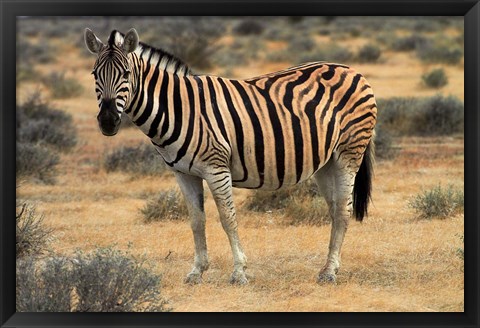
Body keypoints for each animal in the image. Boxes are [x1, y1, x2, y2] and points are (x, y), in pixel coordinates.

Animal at [85, 28, 378, 284]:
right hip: (326, 162)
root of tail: (351, 69)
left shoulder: (216, 167)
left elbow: (228, 218)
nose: (108, 122)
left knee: (343, 210)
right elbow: (196, 221)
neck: (178, 108)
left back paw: (329, 273)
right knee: (335, 209)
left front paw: (239, 273)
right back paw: (330, 267)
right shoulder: (183, 173)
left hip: (348, 153)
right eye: (94, 74)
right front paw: (197, 272)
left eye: (126, 74)